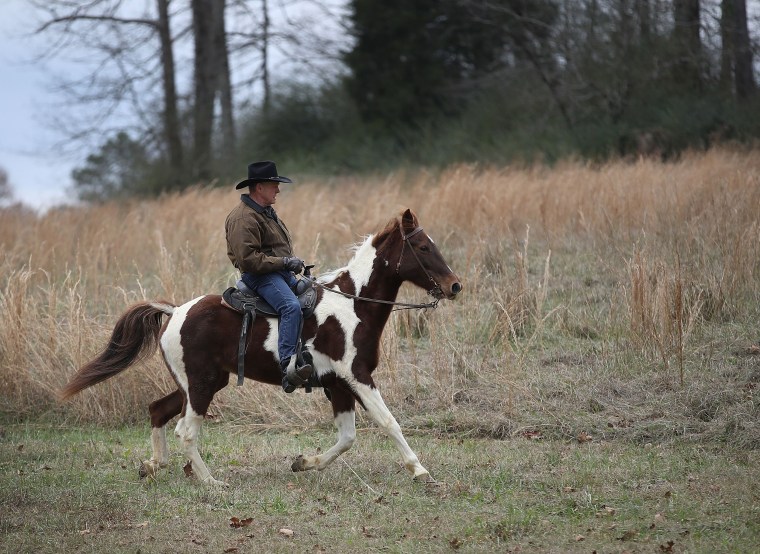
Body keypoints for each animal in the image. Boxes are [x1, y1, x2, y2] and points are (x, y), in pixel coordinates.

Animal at [60, 207, 464, 484]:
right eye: (423, 246)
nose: (454, 286)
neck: (352, 304)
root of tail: (175, 311)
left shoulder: (336, 384)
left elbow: (347, 437)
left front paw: (304, 462)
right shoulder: (357, 376)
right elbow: (388, 421)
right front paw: (420, 471)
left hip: (200, 383)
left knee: (158, 411)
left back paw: (153, 465)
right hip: (201, 386)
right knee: (186, 431)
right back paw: (212, 483)